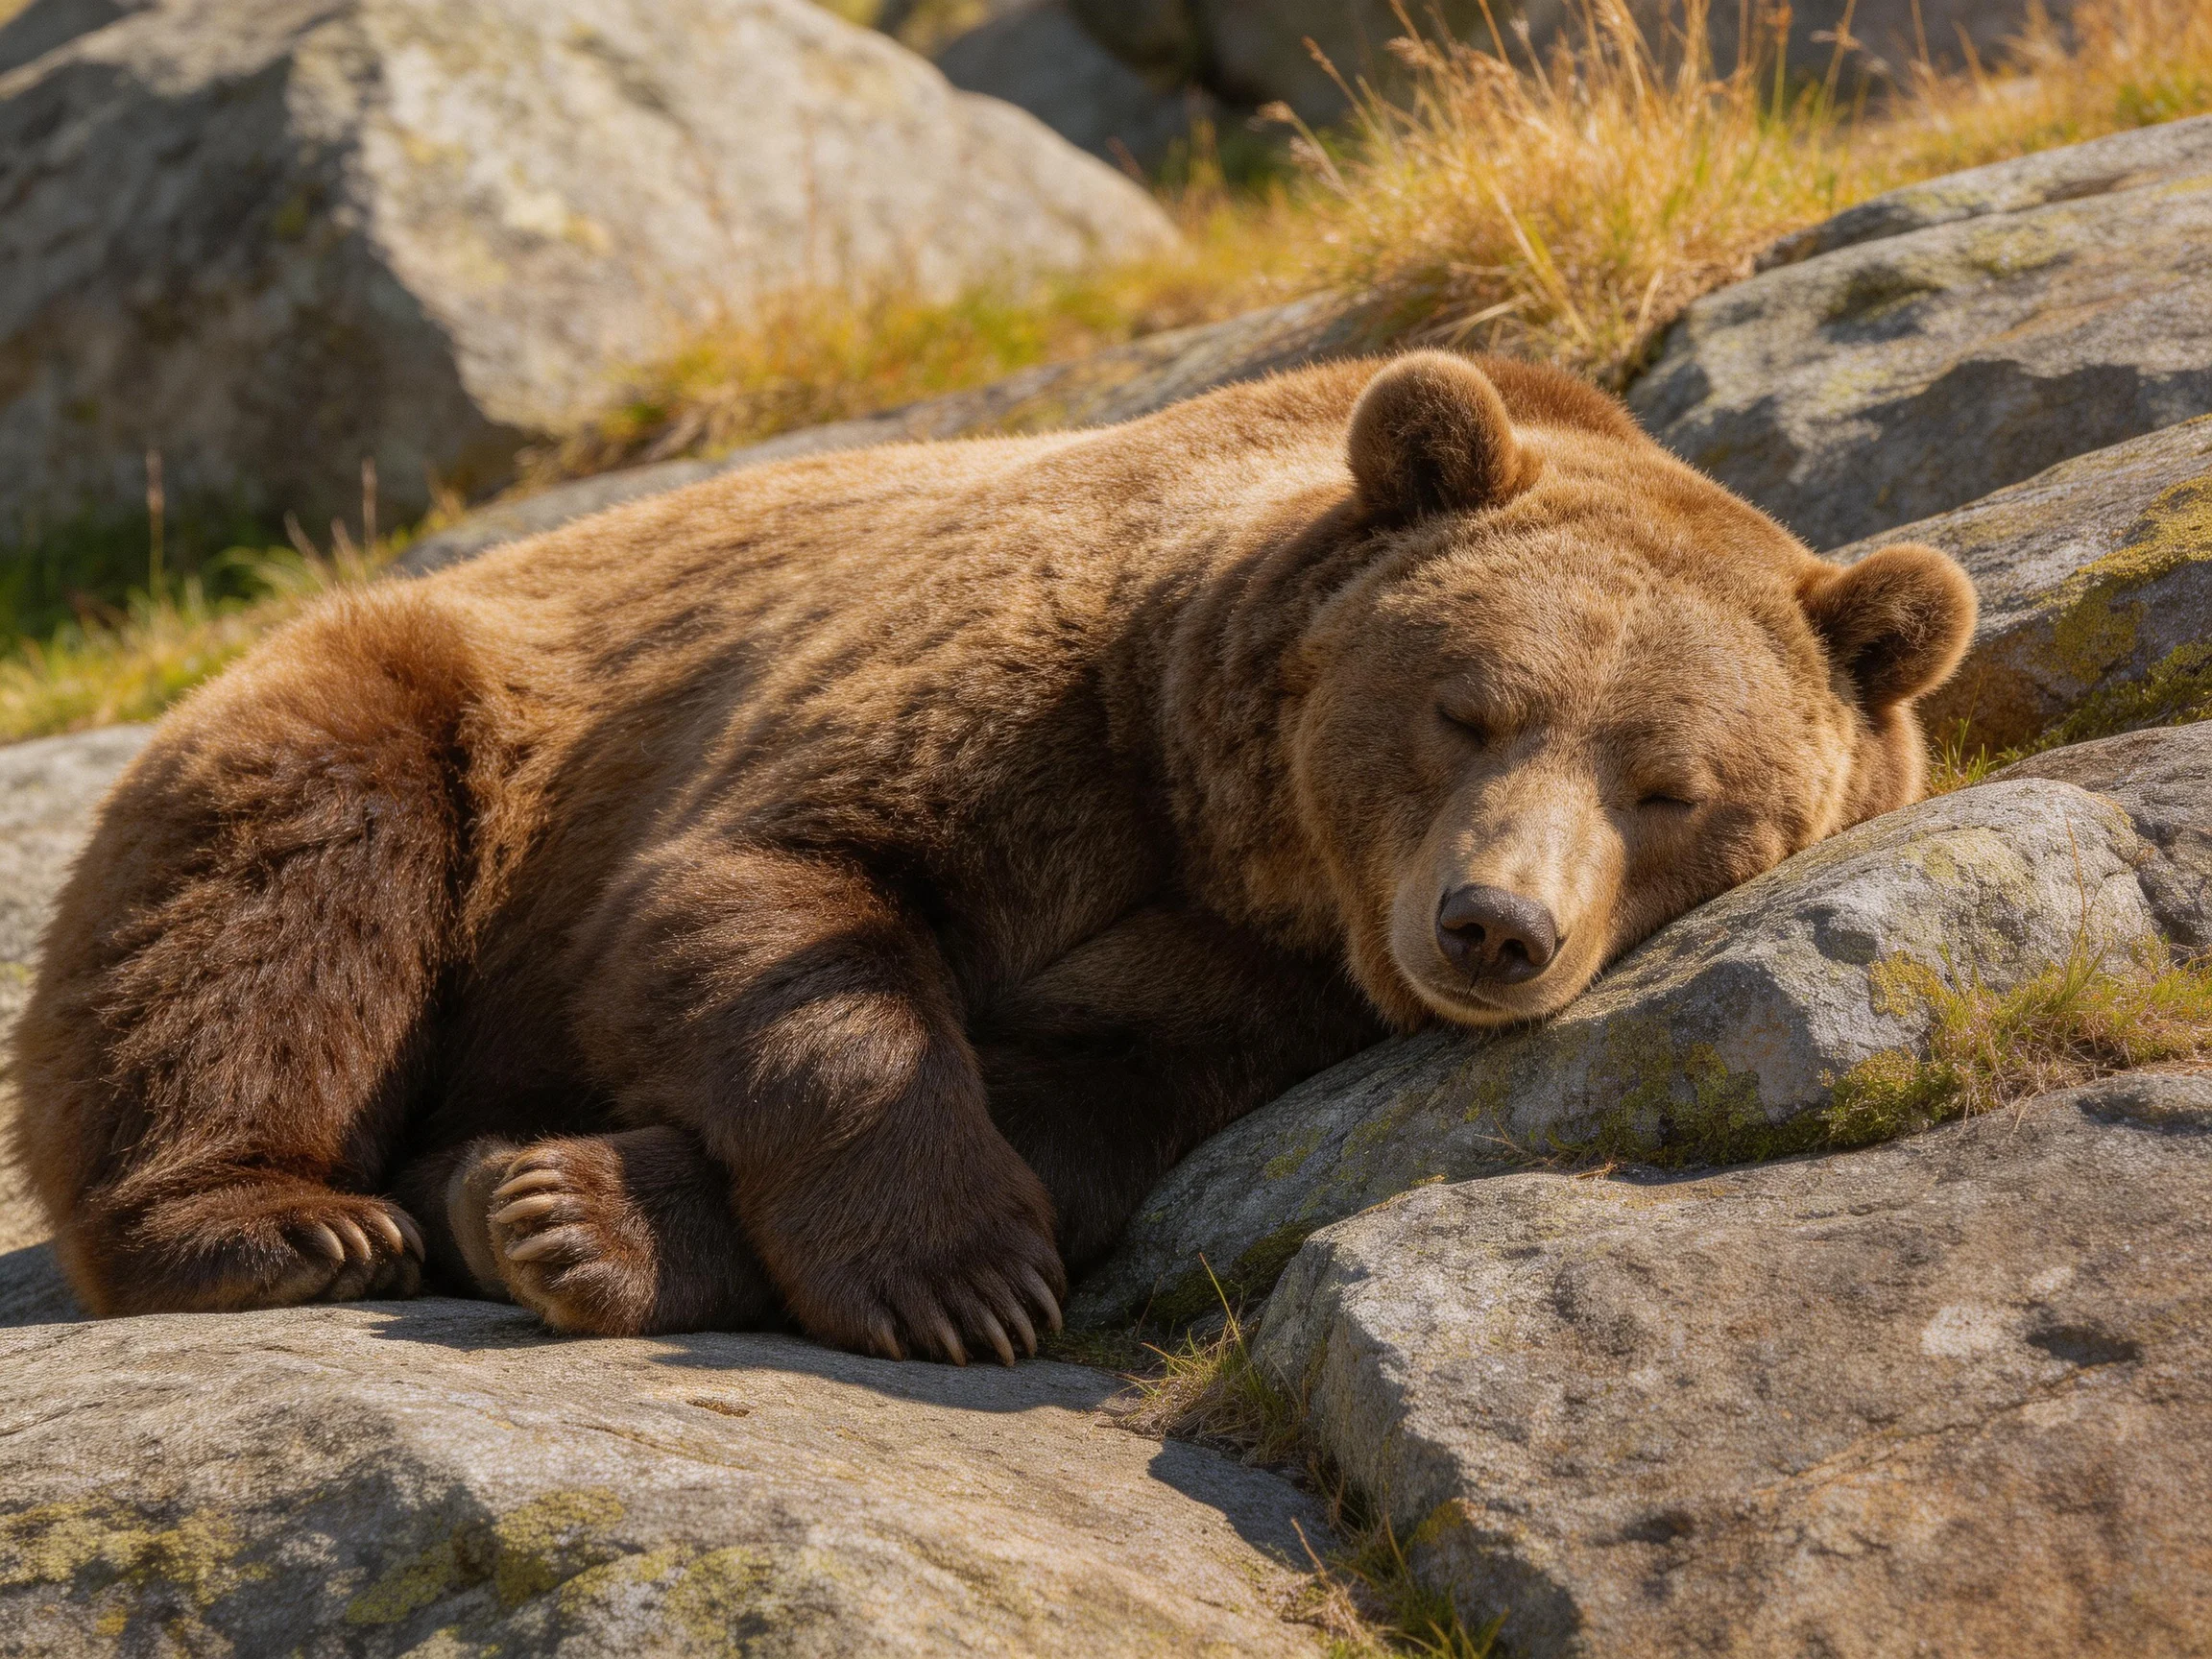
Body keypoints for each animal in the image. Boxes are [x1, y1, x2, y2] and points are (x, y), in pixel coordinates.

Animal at [9, 351, 1976, 1364]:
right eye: (1467, 708)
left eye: (1669, 789)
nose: (1494, 926)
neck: (1226, 827)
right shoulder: (1019, 692)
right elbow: (776, 901)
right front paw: (950, 1276)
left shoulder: (1252, 988)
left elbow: (1090, 1094)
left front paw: (567, 1209)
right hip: (418, 711)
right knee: (274, 901)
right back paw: (280, 1218)